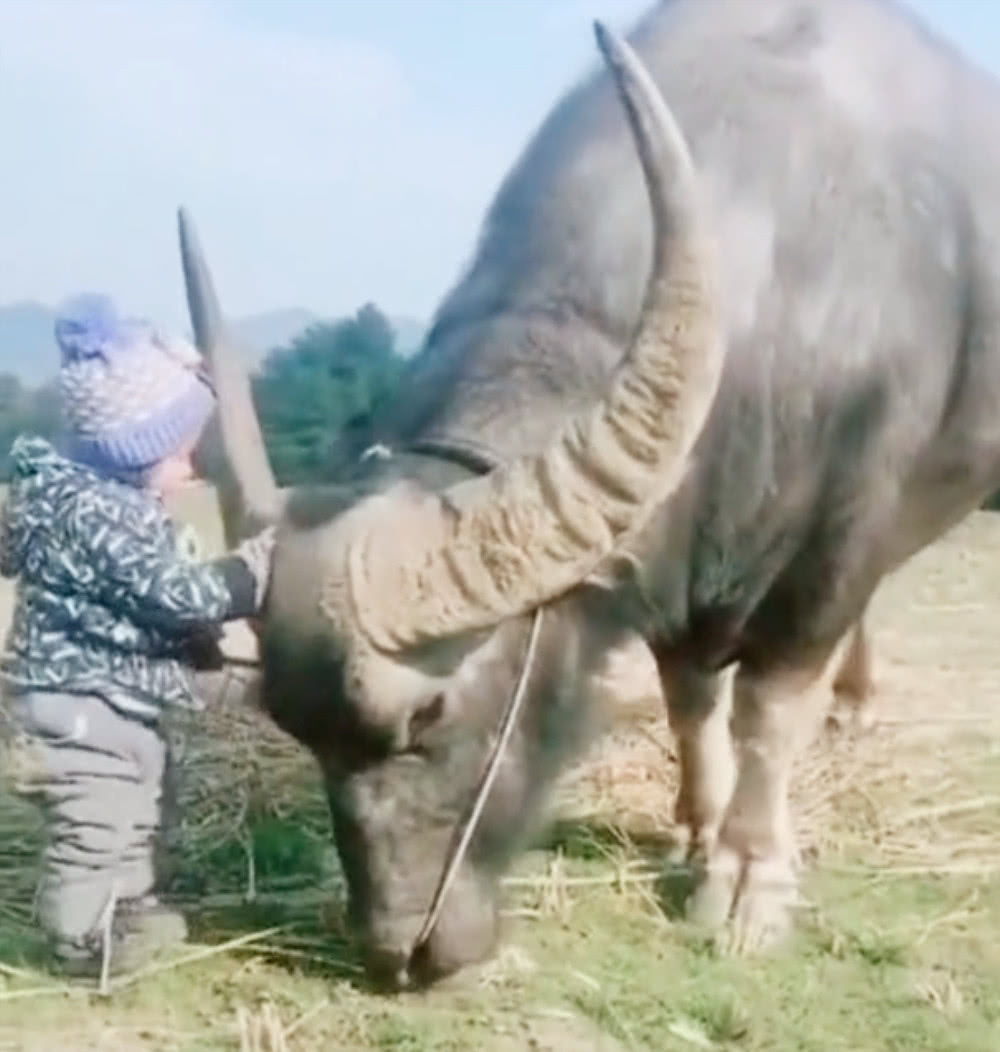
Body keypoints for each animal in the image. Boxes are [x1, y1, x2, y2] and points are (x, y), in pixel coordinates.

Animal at [184, 0, 996, 984]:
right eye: (292, 727)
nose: (397, 951)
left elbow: (770, 709)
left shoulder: (841, 542)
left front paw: (749, 880)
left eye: (429, 711)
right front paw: (696, 830)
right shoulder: (677, 560)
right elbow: (692, 699)